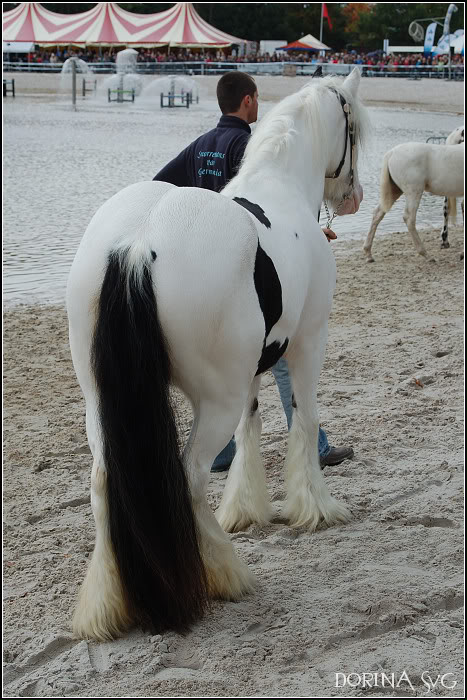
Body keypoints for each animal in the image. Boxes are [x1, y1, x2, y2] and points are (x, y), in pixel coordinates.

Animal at [67, 69, 372, 640]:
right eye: (354, 130)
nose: (355, 195)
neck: (279, 185)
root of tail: (137, 245)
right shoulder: (308, 342)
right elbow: (303, 417)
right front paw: (316, 507)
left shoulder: (253, 366)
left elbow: (251, 429)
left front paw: (247, 510)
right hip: (215, 400)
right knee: (188, 476)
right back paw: (224, 574)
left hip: (99, 399)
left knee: (102, 481)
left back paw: (106, 604)